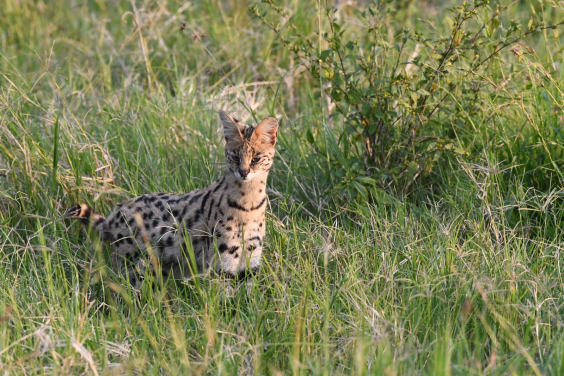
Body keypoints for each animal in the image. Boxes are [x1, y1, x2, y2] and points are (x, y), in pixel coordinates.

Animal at [66, 111, 278, 288]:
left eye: (256, 158)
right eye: (234, 156)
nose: (243, 172)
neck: (249, 204)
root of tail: (114, 214)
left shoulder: (250, 262)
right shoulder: (223, 263)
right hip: (133, 266)